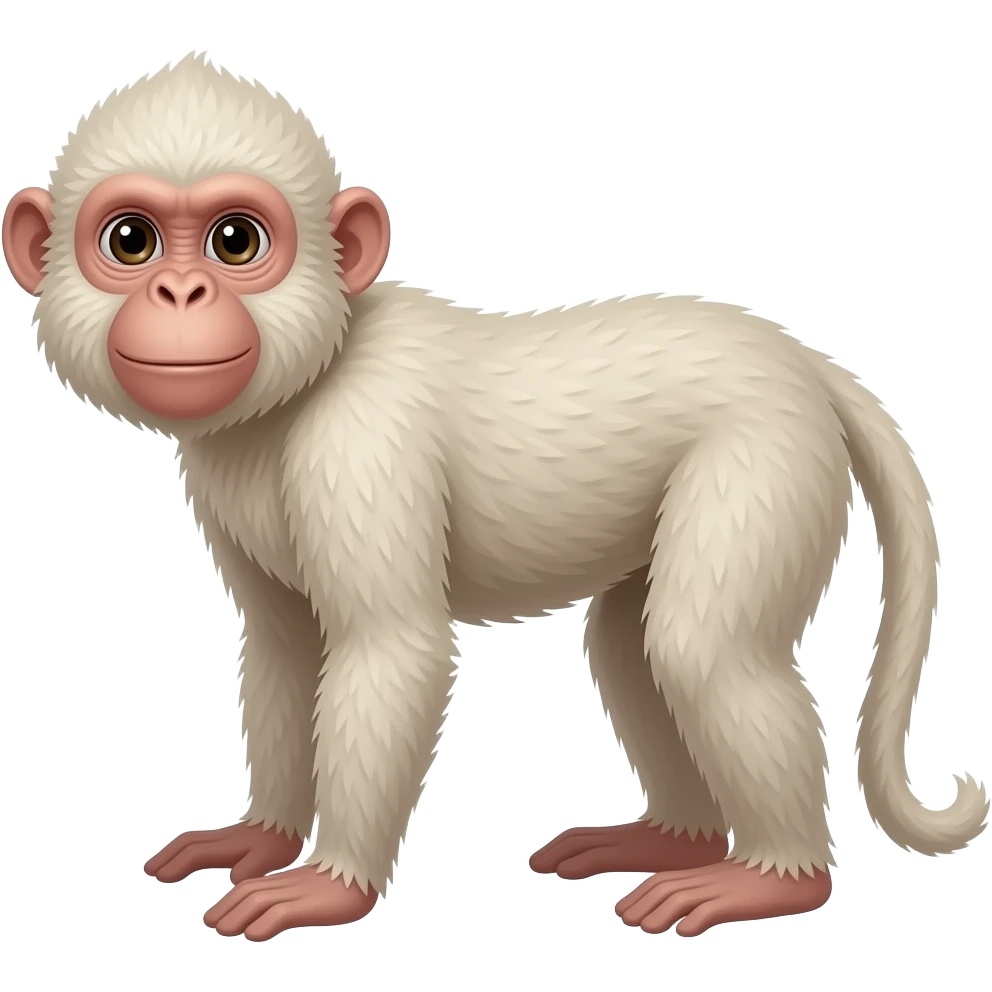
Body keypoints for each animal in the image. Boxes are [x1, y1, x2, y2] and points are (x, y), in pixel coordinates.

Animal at [3, 53, 987, 943]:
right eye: (130, 241)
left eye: (235, 241)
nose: (181, 290)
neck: (300, 387)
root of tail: (804, 361)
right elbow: (285, 644)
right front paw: (262, 837)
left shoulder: (361, 444)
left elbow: (390, 648)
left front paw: (331, 885)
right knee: (632, 645)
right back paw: (673, 839)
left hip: (765, 455)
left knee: (698, 648)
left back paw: (776, 879)